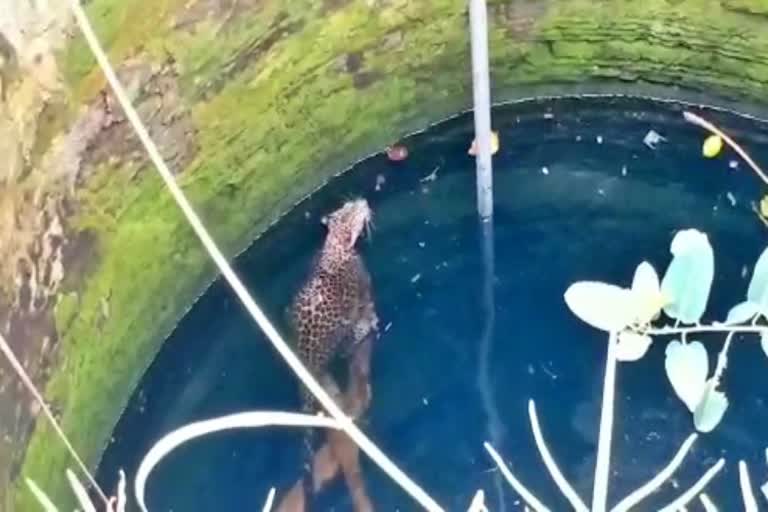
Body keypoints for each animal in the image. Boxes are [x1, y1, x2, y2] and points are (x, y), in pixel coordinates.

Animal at [290, 197, 380, 504]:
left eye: (347, 206)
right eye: (352, 213)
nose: (363, 201)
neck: (335, 247)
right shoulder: (363, 287)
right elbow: (367, 303)